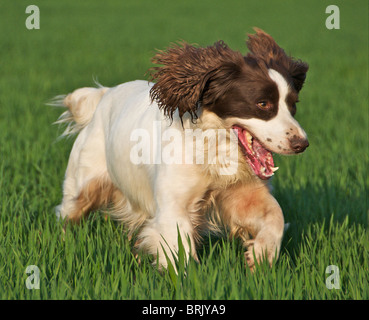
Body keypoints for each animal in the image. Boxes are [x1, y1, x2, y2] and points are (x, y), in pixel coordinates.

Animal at [54, 29, 308, 270]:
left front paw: (261, 255)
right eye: (262, 104)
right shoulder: (175, 207)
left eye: (293, 105)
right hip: (82, 186)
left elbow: (275, 215)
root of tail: (104, 94)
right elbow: (180, 255)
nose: (302, 144)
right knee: (67, 215)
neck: (213, 148)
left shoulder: (243, 194)